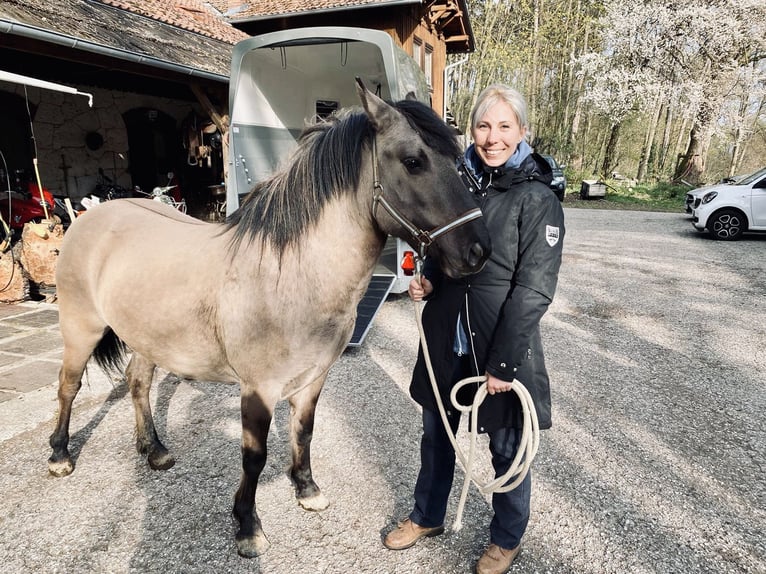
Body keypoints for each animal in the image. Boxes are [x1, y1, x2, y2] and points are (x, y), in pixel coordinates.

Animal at [48, 82, 492, 560]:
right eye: (413, 161)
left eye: (460, 161)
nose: (477, 252)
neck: (291, 272)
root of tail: (93, 216)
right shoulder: (258, 389)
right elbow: (254, 456)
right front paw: (247, 527)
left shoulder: (314, 378)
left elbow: (304, 432)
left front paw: (307, 490)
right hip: (81, 328)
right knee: (69, 386)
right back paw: (59, 456)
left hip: (146, 336)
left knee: (137, 383)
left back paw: (155, 450)